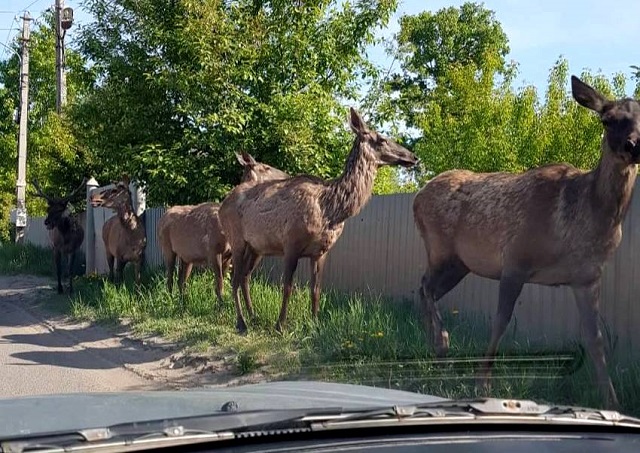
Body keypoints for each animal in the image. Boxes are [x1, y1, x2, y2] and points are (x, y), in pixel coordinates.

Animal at [156, 150, 288, 302]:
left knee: (181, 280)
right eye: (266, 167)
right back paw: (170, 300)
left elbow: (225, 281)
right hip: (166, 247)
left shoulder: (228, 255)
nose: (286, 176)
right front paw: (221, 305)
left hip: (187, 256)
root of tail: (162, 218)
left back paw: (183, 302)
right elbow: (219, 283)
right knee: (170, 277)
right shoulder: (213, 250)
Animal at [219, 106, 420, 332]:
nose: (413, 157)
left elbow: (315, 289)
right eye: (382, 139)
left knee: (244, 277)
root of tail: (222, 204)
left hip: (257, 248)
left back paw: (253, 316)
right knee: (234, 279)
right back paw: (241, 322)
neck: (331, 210)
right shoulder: (291, 244)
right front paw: (280, 325)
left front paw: (315, 323)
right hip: (237, 241)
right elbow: (287, 286)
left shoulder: (321, 252)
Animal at [410, 75, 640, 410]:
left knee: (426, 289)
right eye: (607, 119)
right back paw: (441, 344)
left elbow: (595, 338)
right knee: (425, 286)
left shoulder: (587, 277)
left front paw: (612, 404)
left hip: (461, 263)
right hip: (441, 249)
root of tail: (417, 196)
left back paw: (436, 351)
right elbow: (501, 321)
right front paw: (482, 385)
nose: (634, 145)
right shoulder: (516, 260)